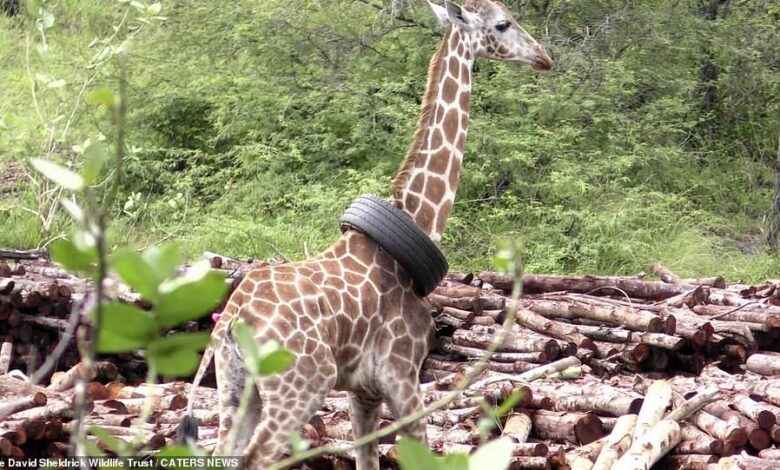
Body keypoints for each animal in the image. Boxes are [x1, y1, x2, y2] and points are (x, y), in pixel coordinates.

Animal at [181, 1, 553, 469]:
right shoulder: (403, 375)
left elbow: (366, 458)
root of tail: (231, 318)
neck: (418, 221)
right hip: (299, 385)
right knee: (256, 456)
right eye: (503, 23)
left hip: (234, 388)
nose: (544, 58)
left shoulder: (363, 390)